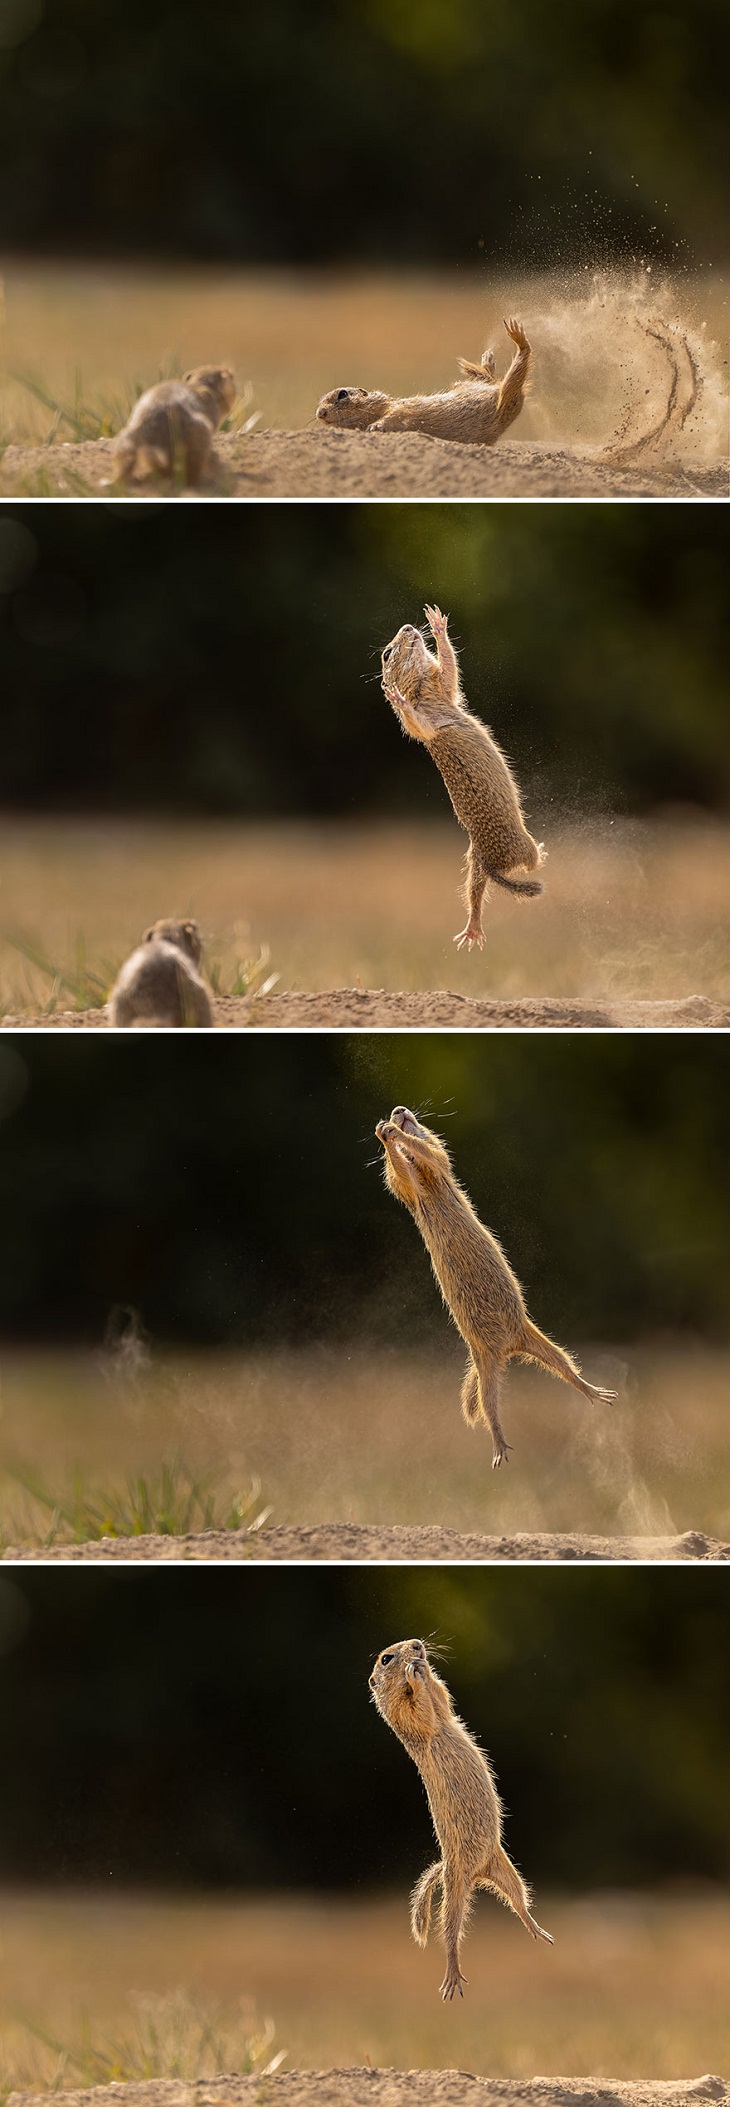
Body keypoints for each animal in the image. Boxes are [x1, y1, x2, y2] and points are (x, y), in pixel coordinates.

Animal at [314, 311, 529, 440]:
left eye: (343, 394)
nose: (320, 413)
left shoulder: (398, 408)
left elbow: (396, 414)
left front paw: (374, 426)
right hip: (506, 394)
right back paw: (490, 360)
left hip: (506, 396)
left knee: (516, 364)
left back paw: (513, 338)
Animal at [367, 1635, 548, 1997]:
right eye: (386, 1658)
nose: (418, 1645)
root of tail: (478, 1874)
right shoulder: (410, 1719)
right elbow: (420, 1710)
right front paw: (413, 1673)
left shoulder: (444, 1709)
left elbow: (443, 1699)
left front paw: (425, 1669)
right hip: (452, 1893)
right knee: (449, 1934)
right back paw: (452, 1977)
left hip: (507, 1868)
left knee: (518, 1901)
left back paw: (538, 1931)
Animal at [375, 1104, 616, 1466]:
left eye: (413, 1115)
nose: (398, 1110)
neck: (423, 1180)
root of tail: (508, 1349)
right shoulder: (408, 1186)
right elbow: (399, 1172)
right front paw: (386, 1133)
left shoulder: (436, 1162)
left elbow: (431, 1150)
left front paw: (394, 1132)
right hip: (486, 1365)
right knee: (491, 1408)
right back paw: (499, 1446)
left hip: (538, 1342)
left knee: (563, 1366)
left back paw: (595, 1392)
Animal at [381, 602, 540, 948]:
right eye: (387, 653)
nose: (408, 627)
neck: (421, 690)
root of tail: (491, 864)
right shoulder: (427, 711)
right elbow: (419, 715)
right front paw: (398, 697)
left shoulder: (443, 690)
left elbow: (449, 671)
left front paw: (436, 623)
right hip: (522, 845)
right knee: (530, 862)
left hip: (473, 866)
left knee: (475, 892)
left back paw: (472, 930)